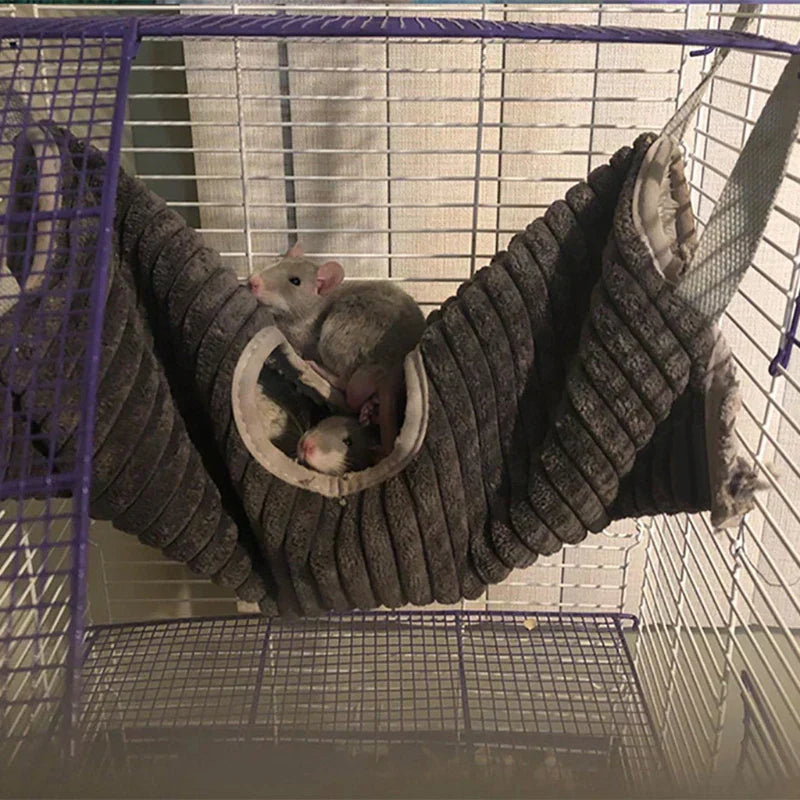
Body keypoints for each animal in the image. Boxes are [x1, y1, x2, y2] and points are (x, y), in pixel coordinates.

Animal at [249, 242, 425, 456]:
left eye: (295, 281)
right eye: (276, 262)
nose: (252, 282)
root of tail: (391, 363)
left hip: (338, 335)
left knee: (346, 384)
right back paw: (370, 408)